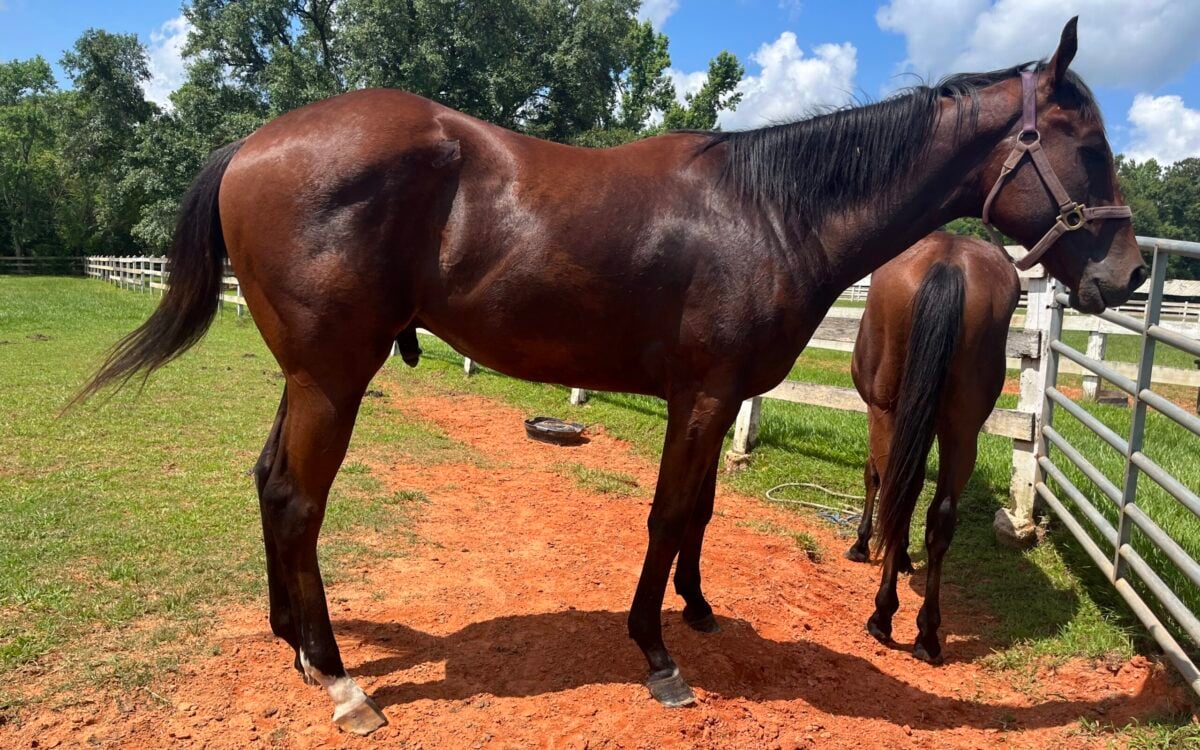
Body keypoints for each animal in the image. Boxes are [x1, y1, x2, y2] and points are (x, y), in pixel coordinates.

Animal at [843, 231, 1021, 664]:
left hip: (888, 411)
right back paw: (927, 633)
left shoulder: (877, 412)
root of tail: (949, 261)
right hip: (962, 429)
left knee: (897, 488)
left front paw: (864, 543)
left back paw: (882, 615)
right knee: (939, 516)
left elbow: (876, 477)